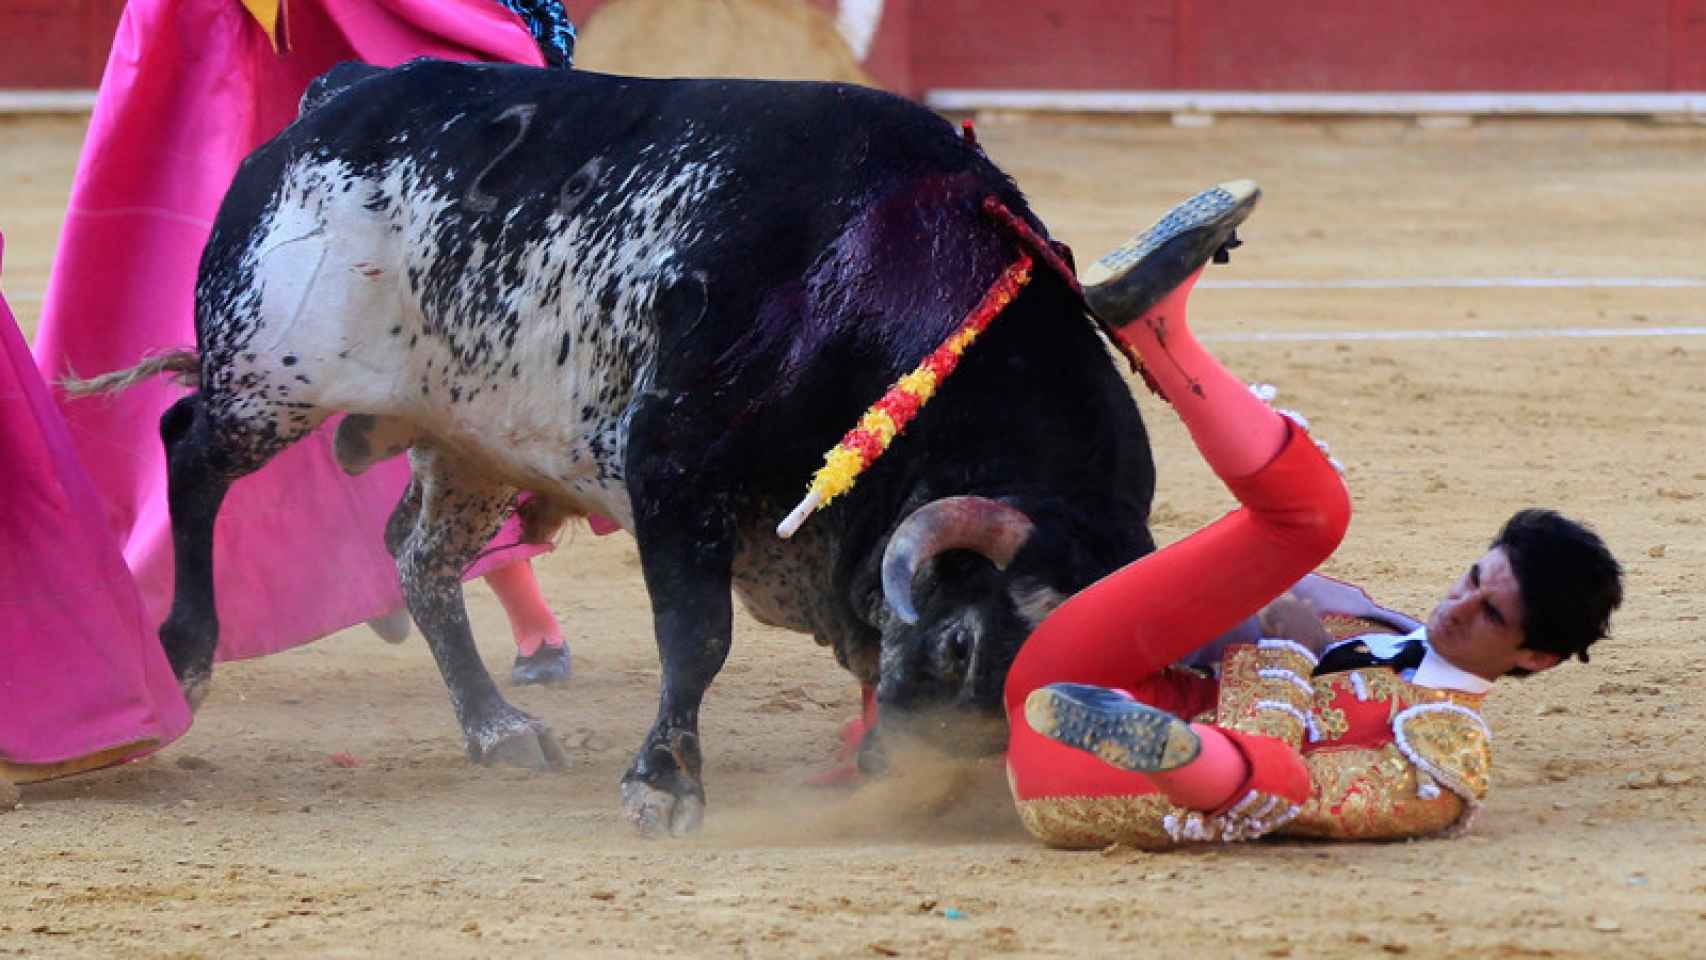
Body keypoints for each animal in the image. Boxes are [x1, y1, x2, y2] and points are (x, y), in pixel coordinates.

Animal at [103, 63, 1160, 838]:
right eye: (961, 643)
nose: (916, 781)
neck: (872, 277)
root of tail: (335, 95)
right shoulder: (671, 468)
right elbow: (696, 636)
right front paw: (664, 784)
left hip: (470, 444)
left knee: (419, 560)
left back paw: (496, 728)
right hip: (269, 375)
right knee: (189, 454)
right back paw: (182, 656)